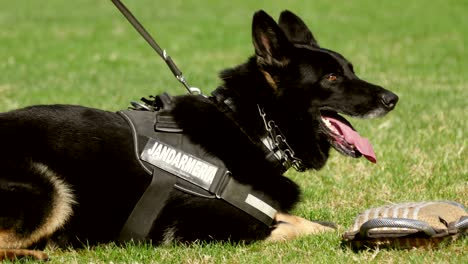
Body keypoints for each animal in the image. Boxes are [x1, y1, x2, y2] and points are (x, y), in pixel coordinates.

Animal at [0, 9, 398, 260]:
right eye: (331, 77)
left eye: (350, 70)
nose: (392, 99)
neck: (251, 128)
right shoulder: (209, 232)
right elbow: (288, 227)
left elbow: (314, 222)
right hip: (51, 189)